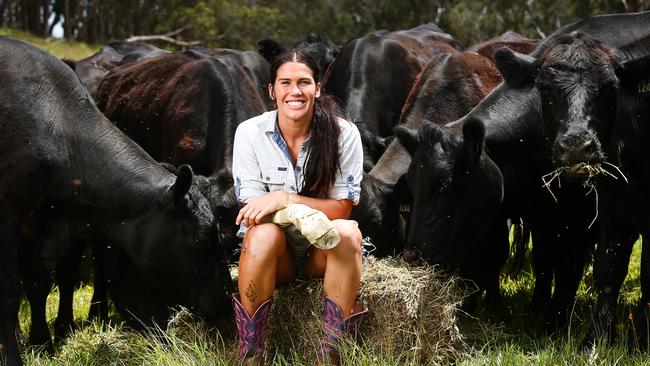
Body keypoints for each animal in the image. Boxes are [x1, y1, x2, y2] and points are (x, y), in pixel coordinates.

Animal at [0, 37, 232, 366]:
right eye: (202, 237)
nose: (227, 300)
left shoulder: (35, 219)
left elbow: (38, 283)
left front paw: (42, 344)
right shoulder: (9, 214)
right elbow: (9, 293)